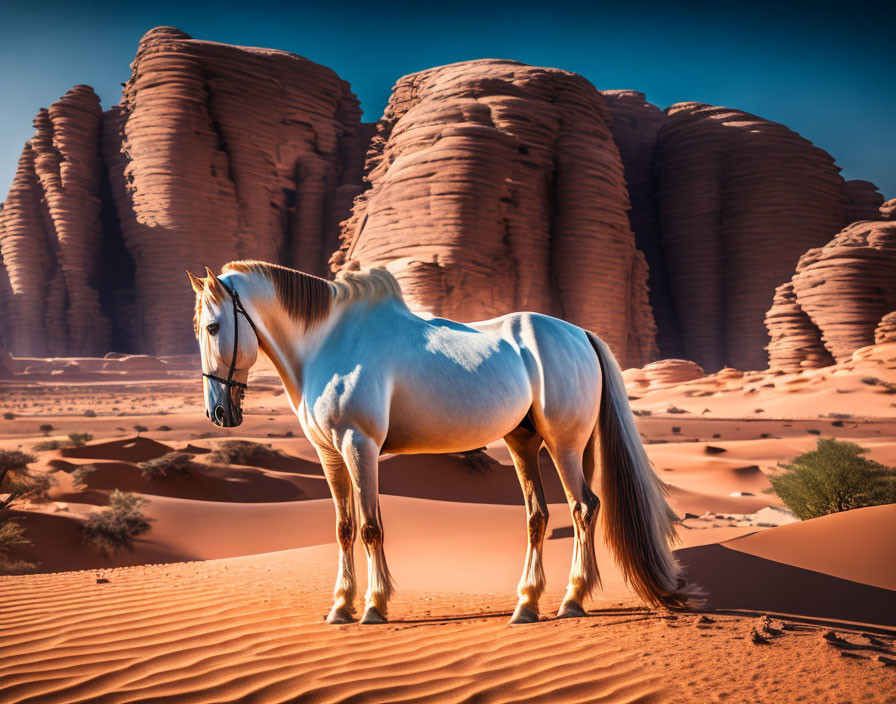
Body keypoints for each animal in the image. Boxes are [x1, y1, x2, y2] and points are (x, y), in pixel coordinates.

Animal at [186, 262, 696, 624]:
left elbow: (370, 527)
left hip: (563, 445)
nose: (219, 413)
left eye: (212, 327)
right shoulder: (331, 454)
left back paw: (571, 600)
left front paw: (373, 607)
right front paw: (340, 608)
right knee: (538, 517)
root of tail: (581, 334)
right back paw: (526, 605)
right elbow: (344, 528)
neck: (327, 344)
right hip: (523, 443)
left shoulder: (359, 446)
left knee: (583, 508)